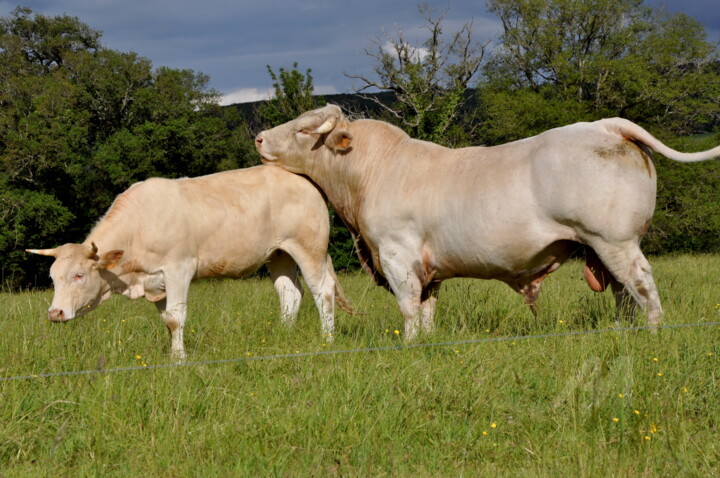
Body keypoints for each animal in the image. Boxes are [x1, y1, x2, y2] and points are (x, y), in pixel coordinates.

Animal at [27, 165, 353, 360]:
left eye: (79, 275)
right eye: (53, 278)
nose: (55, 313)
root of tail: (301, 177)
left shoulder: (178, 269)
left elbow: (175, 318)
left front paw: (178, 359)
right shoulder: (156, 282)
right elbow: (166, 320)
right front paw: (173, 353)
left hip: (309, 247)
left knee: (322, 292)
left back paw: (327, 340)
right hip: (279, 254)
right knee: (289, 294)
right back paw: (284, 336)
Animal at [255, 104, 720, 339]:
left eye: (303, 130)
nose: (259, 137)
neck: (370, 172)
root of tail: (606, 125)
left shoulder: (396, 255)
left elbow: (408, 308)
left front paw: (408, 344)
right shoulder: (428, 268)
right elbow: (427, 309)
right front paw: (426, 345)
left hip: (616, 240)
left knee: (642, 286)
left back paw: (653, 335)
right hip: (603, 249)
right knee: (625, 293)